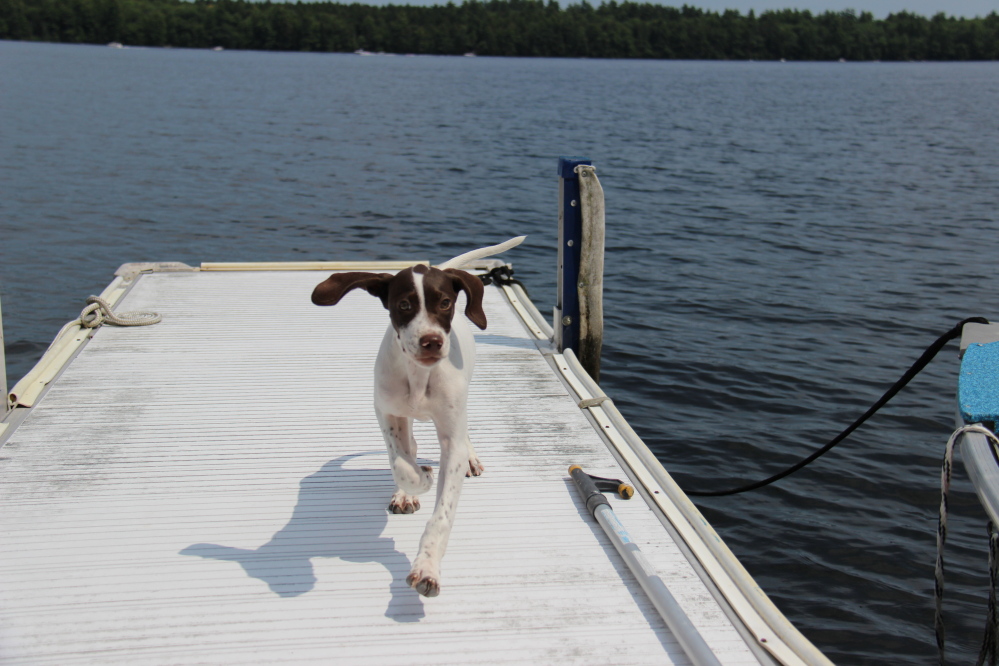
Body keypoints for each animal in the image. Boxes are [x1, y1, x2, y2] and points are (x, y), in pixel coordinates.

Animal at [312, 235, 528, 596]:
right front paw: (420, 480)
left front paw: (427, 567)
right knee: (409, 448)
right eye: (403, 305)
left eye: (445, 303)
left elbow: (442, 513)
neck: (419, 377)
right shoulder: (387, 413)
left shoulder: (451, 439)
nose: (431, 342)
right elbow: (401, 463)